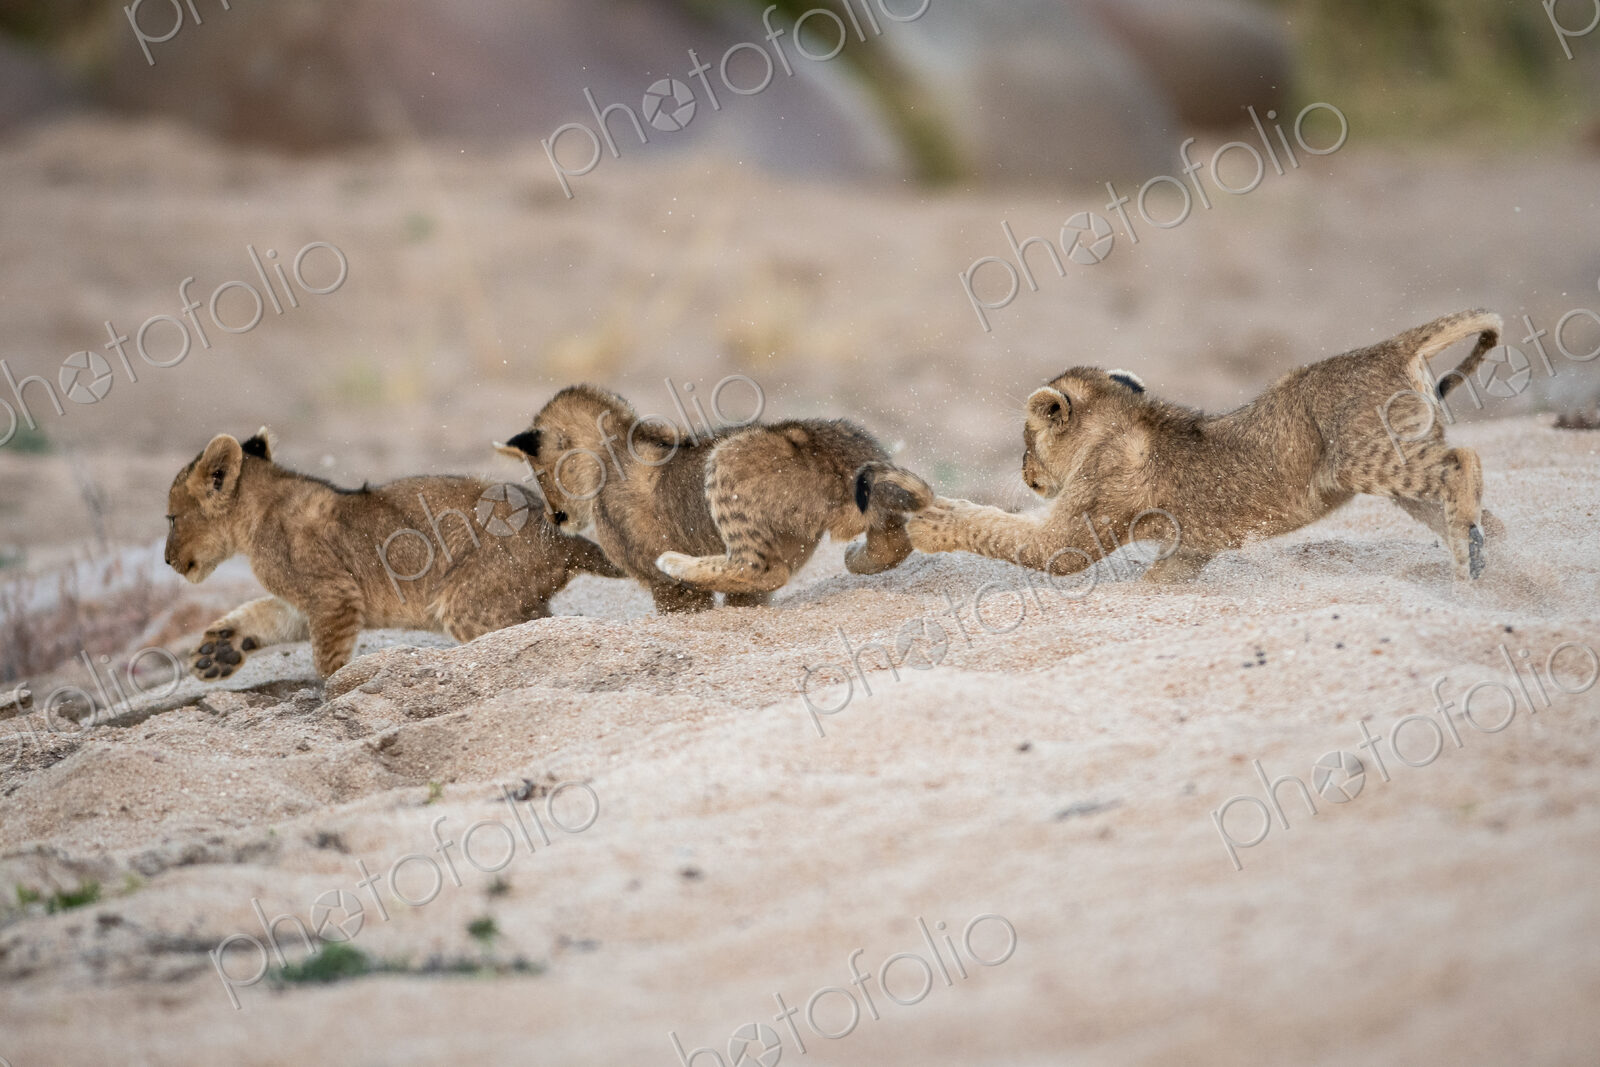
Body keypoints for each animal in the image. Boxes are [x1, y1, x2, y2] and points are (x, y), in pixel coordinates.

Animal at [164, 430, 621, 679]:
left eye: (169, 518)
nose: (166, 561)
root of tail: (559, 537)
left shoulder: (333, 593)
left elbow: (327, 658)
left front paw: (335, 689)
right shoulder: (309, 599)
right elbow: (266, 614)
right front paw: (218, 652)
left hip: (468, 601)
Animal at [494, 384, 914, 612]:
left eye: (539, 473)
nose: (554, 517)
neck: (614, 446)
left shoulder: (666, 588)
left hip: (726, 459)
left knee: (760, 568)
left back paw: (679, 562)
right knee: (894, 542)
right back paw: (860, 556)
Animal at [858, 309, 1506, 583]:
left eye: (1025, 440)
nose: (1023, 471)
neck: (1115, 423)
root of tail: (1392, 345)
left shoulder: (1070, 538)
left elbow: (1000, 530)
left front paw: (929, 520)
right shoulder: (1191, 544)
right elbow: (1169, 574)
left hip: (1366, 458)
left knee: (1465, 460)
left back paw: (1472, 546)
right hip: (1395, 469)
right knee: (1464, 503)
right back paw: (1484, 556)